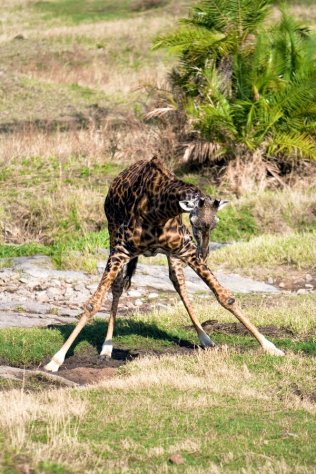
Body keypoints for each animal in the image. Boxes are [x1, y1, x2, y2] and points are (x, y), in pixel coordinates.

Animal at [44, 156, 284, 370]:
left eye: (215, 223)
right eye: (194, 221)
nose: (204, 252)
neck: (159, 210)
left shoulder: (186, 249)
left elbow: (226, 297)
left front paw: (270, 347)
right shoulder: (122, 251)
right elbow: (92, 304)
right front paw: (55, 360)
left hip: (173, 255)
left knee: (178, 282)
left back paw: (205, 338)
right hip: (113, 236)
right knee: (118, 286)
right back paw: (106, 348)